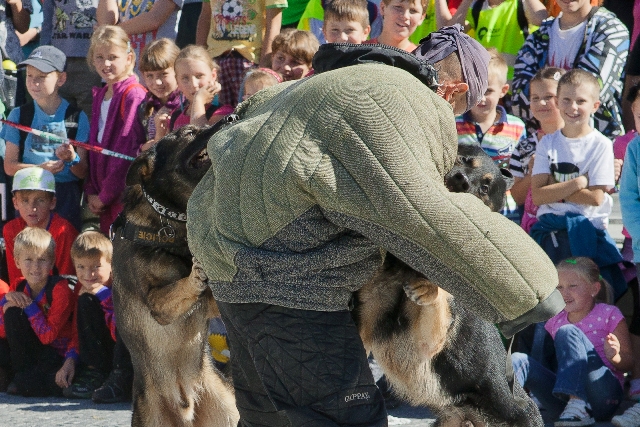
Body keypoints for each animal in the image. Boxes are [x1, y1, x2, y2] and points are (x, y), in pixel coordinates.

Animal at [111, 125, 239, 426]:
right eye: (188, 132)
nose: (230, 118)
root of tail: (187, 408)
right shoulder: (158, 305)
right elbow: (182, 285)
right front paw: (195, 274)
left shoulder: (210, 305)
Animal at [352, 145, 544, 427]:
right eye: (463, 159)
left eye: (485, 187)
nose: (461, 180)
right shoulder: (366, 325)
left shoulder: (428, 342)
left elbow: (438, 296)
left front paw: (428, 288)